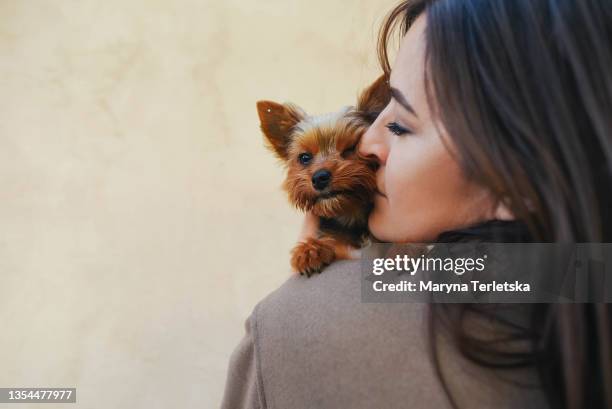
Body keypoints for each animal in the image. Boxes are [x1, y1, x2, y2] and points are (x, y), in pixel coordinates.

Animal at [256, 75, 390, 276]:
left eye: (352, 148)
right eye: (304, 158)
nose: (319, 177)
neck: (350, 213)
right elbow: (331, 243)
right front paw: (310, 251)